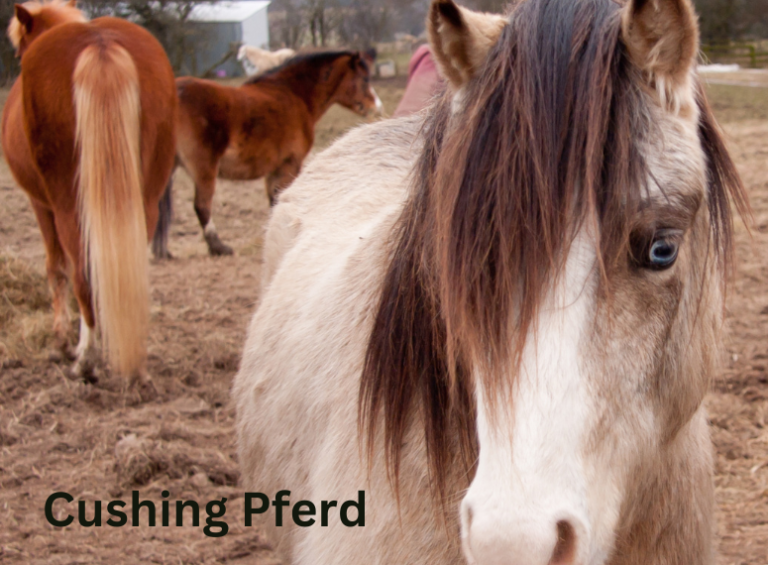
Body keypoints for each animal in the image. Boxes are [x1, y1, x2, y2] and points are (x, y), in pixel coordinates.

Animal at [2, 0, 177, 391]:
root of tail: (100, 43)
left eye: (18, 51)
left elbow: (56, 268)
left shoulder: (41, 205)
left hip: (69, 206)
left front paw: (62, 343)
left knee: (82, 273)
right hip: (144, 202)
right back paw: (135, 362)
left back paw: (85, 362)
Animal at [153, 50, 382, 258]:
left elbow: (275, 203)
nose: (376, 107)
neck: (293, 94)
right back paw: (218, 247)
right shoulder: (289, 165)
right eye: (364, 78)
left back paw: (161, 251)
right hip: (205, 169)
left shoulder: (273, 170)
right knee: (202, 206)